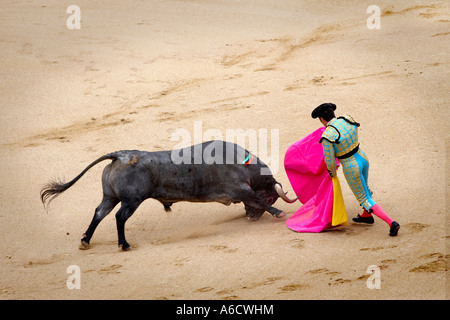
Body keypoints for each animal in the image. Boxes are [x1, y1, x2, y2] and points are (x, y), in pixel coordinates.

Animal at [40, 140, 298, 250]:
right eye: (272, 197)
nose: (251, 219)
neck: (242, 163)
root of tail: (120, 155)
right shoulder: (239, 188)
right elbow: (255, 198)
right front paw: (278, 212)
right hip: (131, 200)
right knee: (120, 217)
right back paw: (124, 244)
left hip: (110, 196)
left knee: (99, 212)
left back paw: (85, 240)